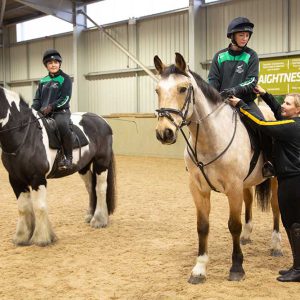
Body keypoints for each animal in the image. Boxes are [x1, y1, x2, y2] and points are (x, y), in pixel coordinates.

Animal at [0, 86, 116, 246]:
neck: (25, 136)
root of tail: (102, 121)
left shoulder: (38, 178)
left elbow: (39, 206)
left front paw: (42, 238)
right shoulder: (15, 179)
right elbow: (23, 208)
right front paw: (22, 237)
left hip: (101, 162)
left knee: (100, 188)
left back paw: (99, 220)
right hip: (84, 167)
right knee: (90, 188)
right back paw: (90, 215)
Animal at [154, 52, 282, 282]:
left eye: (183, 89)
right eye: (157, 90)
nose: (164, 132)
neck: (210, 139)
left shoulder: (233, 188)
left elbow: (233, 225)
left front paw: (237, 267)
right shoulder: (199, 189)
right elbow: (203, 226)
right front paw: (199, 268)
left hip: (274, 179)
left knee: (276, 208)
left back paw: (276, 245)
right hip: (246, 183)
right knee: (249, 201)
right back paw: (247, 236)